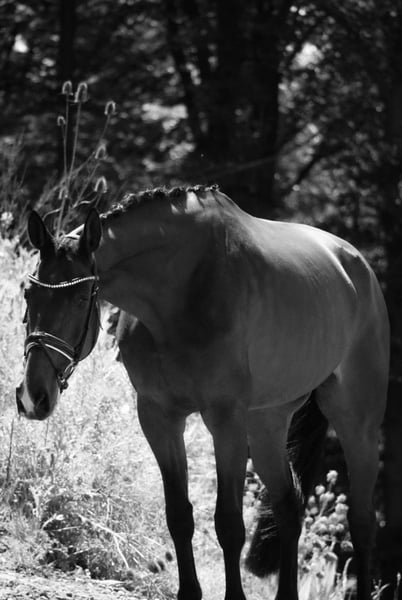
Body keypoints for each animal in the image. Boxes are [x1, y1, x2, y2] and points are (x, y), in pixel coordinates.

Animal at [16, 185, 389, 600]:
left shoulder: (225, 420)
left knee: (361, 521)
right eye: (29, 294)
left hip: (356, 422)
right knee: (288, 505)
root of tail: (357, 267)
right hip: (267, 424)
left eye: (81, 300)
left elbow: (228, 523)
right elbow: (179, 515)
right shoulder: (159, 417)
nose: (33, 395)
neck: (182, 291)